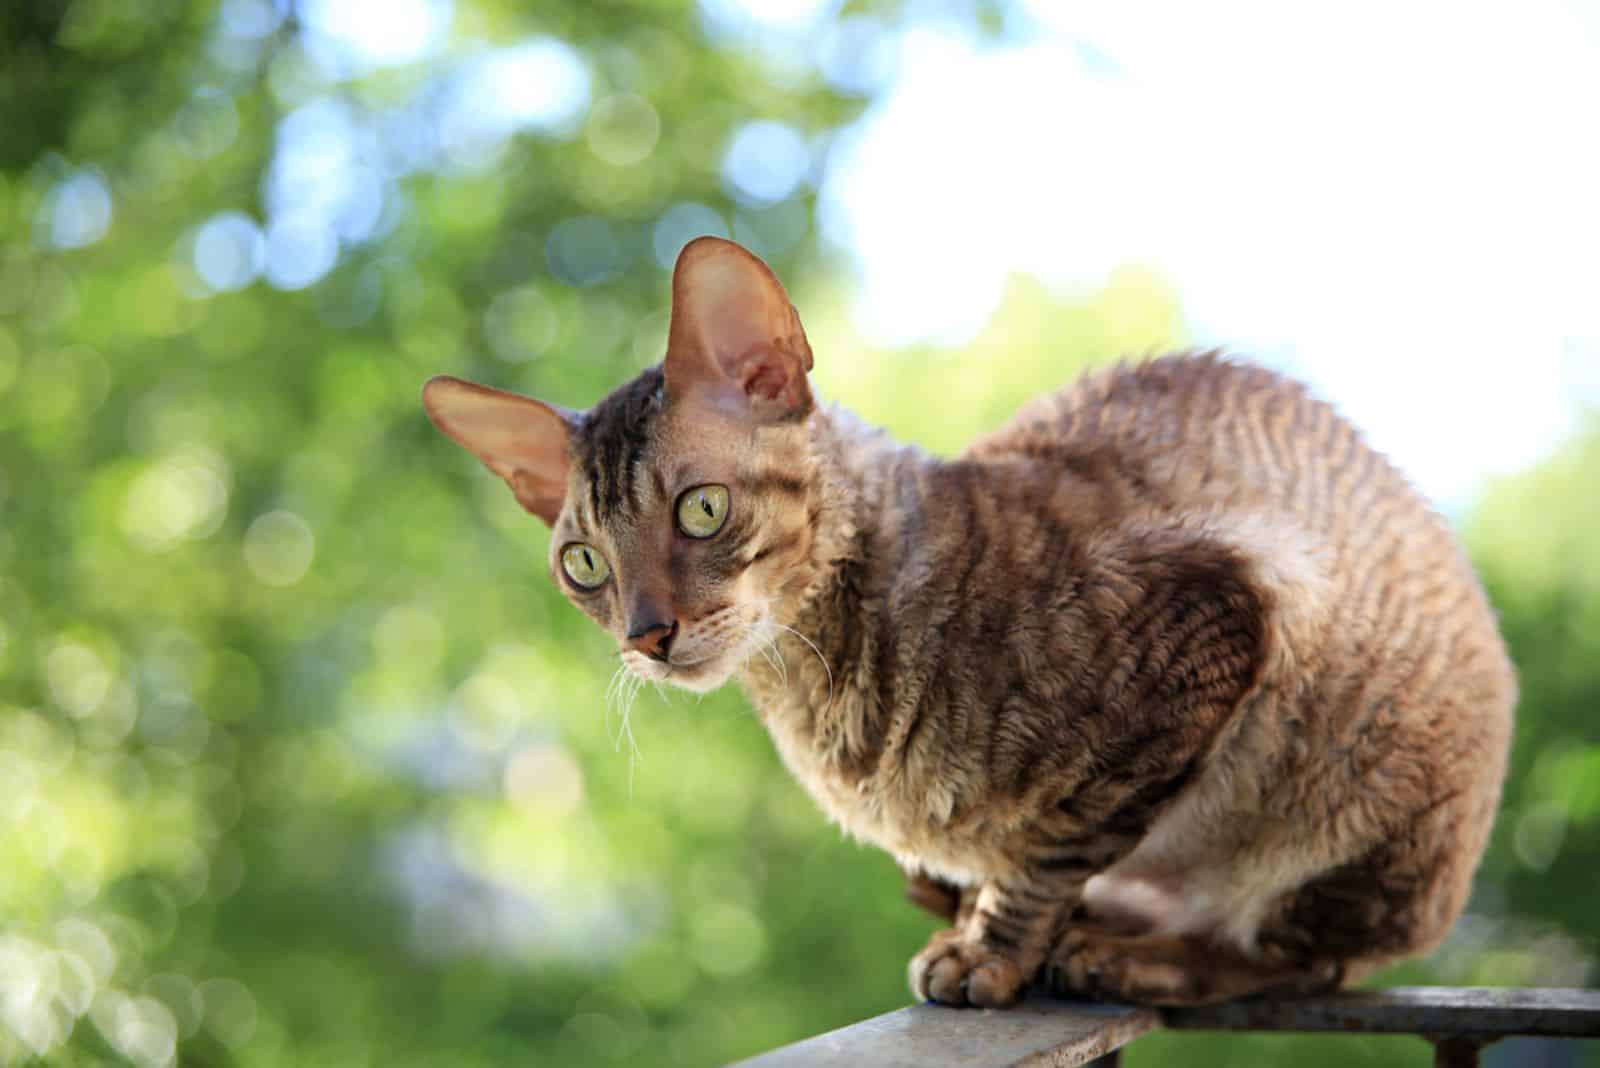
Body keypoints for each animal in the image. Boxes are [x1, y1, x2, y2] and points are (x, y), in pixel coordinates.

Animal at [422, 235, 1510, 1010]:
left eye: (701, 509)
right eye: (584, 566)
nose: (646, 634)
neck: (816, 701)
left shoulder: (1226, 614)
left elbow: (1053, 847)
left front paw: (991, 951)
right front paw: (976, 918)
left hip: (1365, 805)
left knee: (1308, 957)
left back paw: (1132, 956)